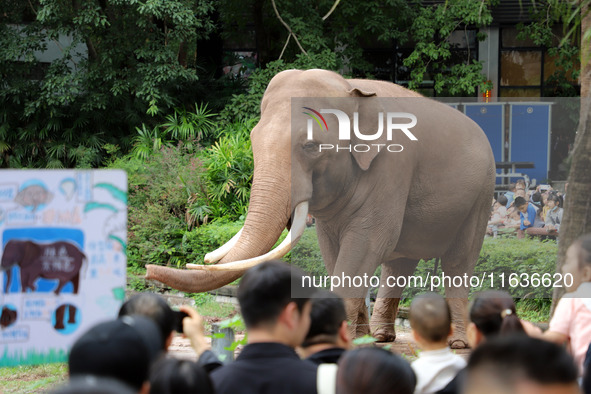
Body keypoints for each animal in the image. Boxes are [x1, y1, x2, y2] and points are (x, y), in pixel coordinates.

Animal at [147, 69, 494, 346]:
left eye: (311, 146)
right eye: (253, 139)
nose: (149, 270)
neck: (351, 87)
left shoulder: (392, 169)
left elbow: (367, 244)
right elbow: (331, 248)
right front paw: (356, 339)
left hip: (481, 196)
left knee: (458, 261)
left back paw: (458, 343)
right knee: (399, 264)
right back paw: (382, 338)